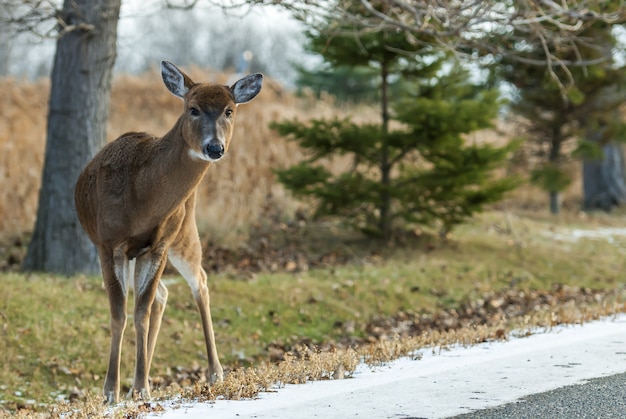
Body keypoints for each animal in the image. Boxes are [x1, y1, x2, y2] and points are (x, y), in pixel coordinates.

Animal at [74, 60, 262, 406]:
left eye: (229, 110)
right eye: (193, 109)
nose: (215, 147)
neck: (141, 198)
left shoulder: (159, 245)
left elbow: (140, 311)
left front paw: (139, 387)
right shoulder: (109, 244)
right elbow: (120, 313)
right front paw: (112, 391)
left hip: (184, 233)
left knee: (198, 281)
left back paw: (215, 373)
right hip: (140, 251)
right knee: (162, 294)